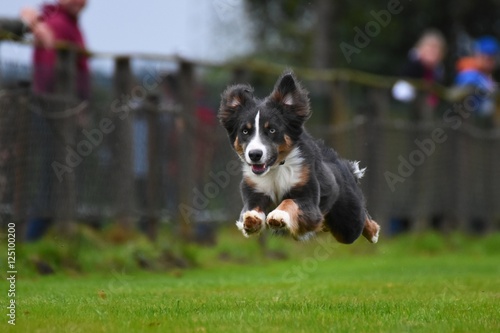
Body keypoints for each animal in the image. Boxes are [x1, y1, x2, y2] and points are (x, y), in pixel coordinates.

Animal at [219, 70, 378, 243]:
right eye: (245, 131)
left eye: (272, 130)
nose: (254, 155)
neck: (276, 169)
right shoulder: (255, 190)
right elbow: (250, 209)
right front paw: (251, 219)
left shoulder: (308, 198)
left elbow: (289, 201)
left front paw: (278, 215)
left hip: (347, 223)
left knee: (360, 220)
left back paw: (374, 232)